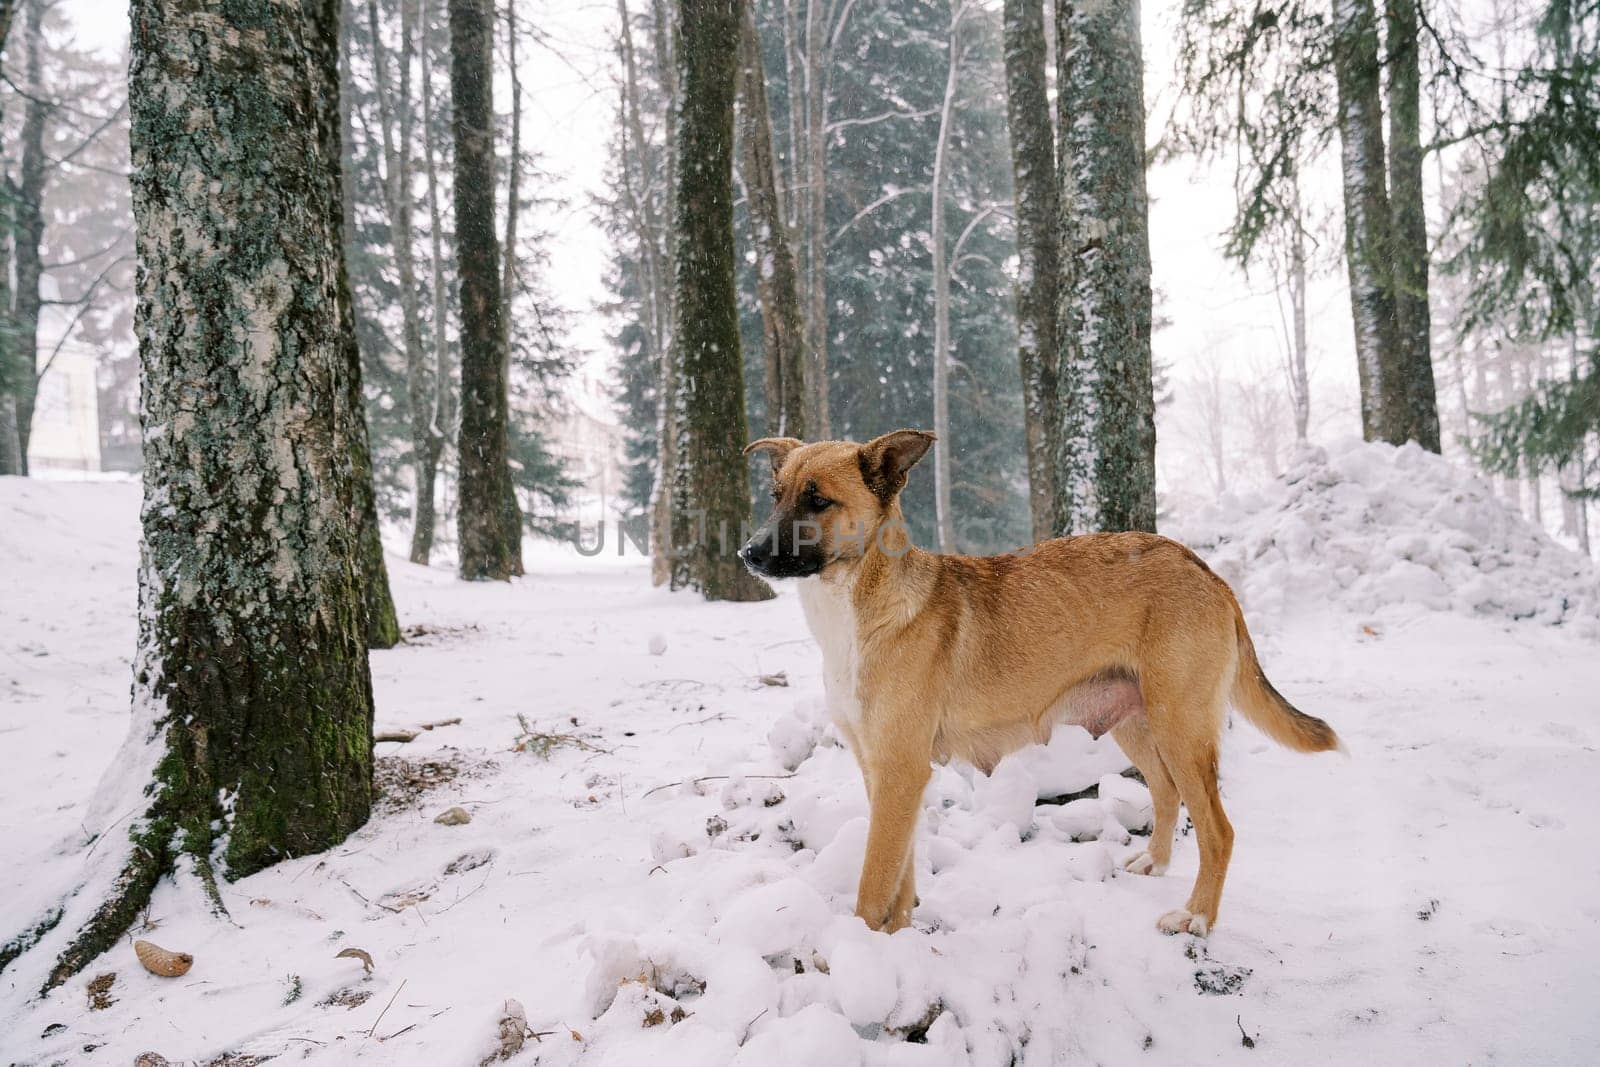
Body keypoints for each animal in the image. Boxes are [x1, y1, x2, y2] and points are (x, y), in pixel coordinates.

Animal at [742, 428, 1344, 940]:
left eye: (819, 501)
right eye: (775, 495)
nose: (749, 553)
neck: (857, 606)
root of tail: (1204, 567)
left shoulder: (899, 771)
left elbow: (873, 883)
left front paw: (855, 950)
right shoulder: (883, 772)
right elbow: (900, 876)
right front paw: (896, 940)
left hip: (1181, 728)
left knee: (1219, 831)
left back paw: (1196, 917)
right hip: (1138, 723)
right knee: (1167, 794)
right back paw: (1155, 863)